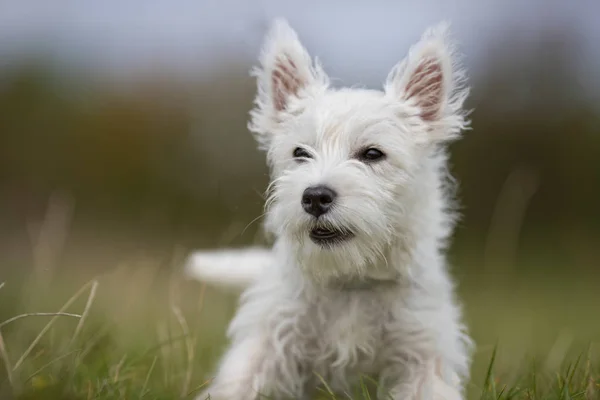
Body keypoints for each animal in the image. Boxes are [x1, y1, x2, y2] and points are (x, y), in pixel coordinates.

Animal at [191, 18, 474, 400]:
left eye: (373, 154)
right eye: (300, 152)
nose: (314, 197)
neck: (350, 281)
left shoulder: (425, 356)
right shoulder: (267, 342)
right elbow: (237, 384)